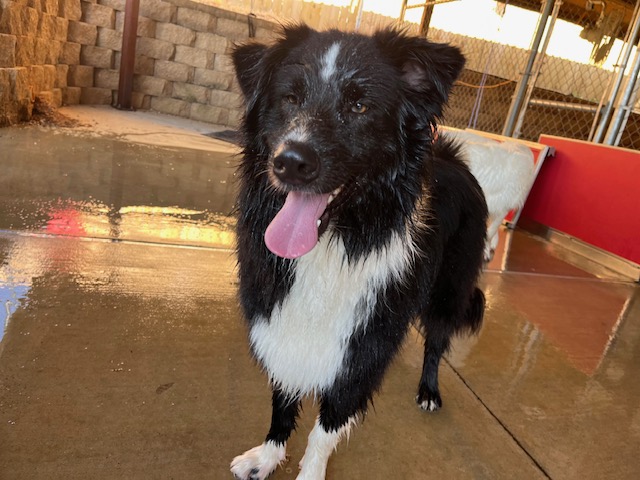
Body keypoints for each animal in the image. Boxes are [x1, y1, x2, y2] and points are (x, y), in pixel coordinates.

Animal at [230, 26, 484, 480]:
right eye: (289, 98)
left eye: (360, 106)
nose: (290, 162)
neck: (338, 243)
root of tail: (454, 159)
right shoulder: (277, 318)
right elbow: (282, 400)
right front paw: (268, 455)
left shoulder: (362, 347)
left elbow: (326, 428)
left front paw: (310, 473)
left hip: (450, 291)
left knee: (436, 342)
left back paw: (428, 390)